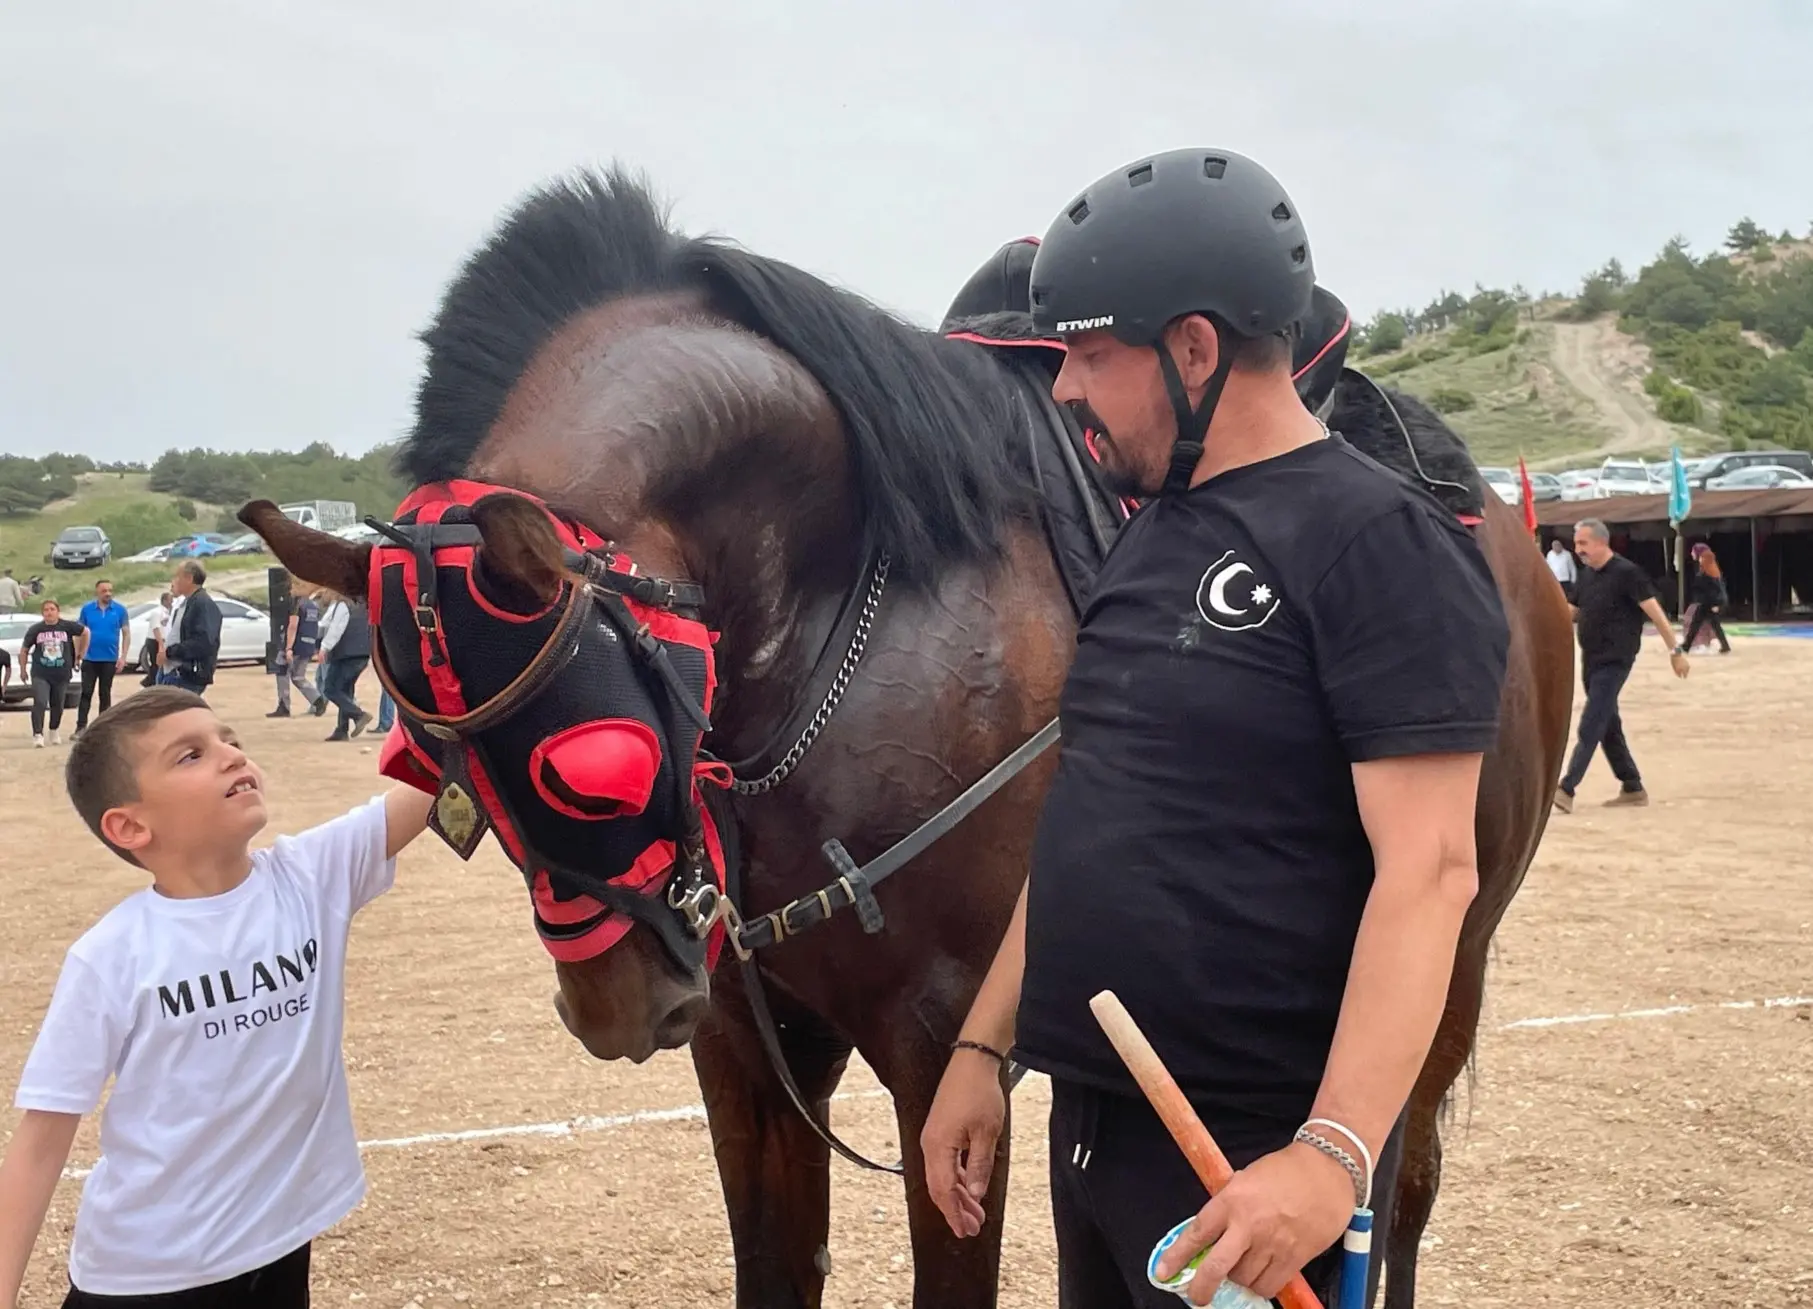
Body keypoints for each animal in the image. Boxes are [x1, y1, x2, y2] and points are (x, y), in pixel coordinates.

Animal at [248, 170, 1580, 1305]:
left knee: (1396, 1193)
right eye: (435, 766)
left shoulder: (939, 1058)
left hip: (1444, 962)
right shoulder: (749, 1048)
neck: (854, 617)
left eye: (593, 763)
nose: (615, 1009)